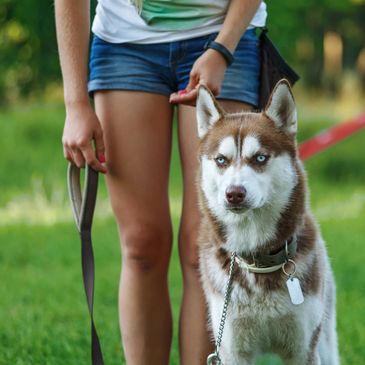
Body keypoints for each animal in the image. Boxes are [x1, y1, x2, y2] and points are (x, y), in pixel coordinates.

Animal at [196, 80, 338, 364]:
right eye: (221, 160)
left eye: (260, 157)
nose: (234, 193)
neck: (256, 259)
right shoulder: (233, 348)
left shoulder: (303, 348)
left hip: (326, 342)